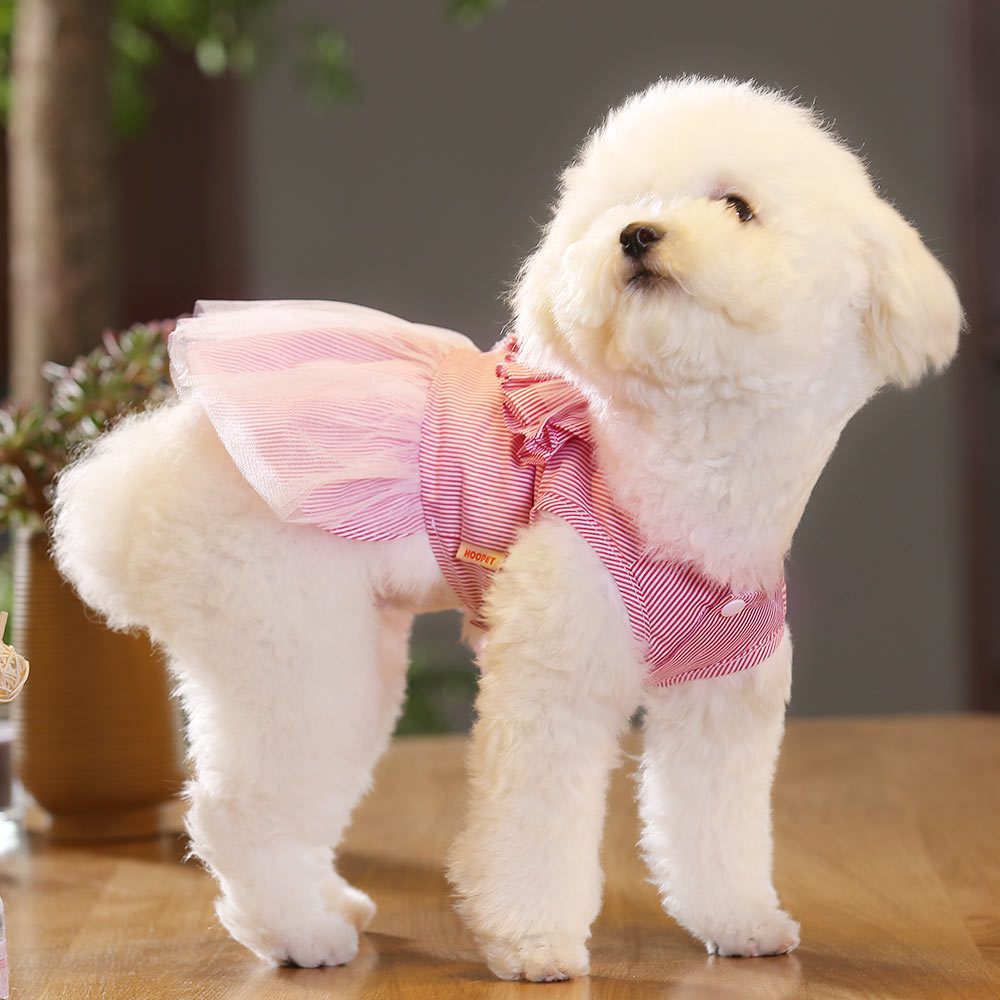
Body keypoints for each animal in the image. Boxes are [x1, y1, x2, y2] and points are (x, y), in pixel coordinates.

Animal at [52, 77, 961, 981]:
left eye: (738, 206)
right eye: (621, 207)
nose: (637, 235)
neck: (682, 470)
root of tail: (135, 479)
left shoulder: (723, 699)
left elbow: (713, 825)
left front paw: (739, 922)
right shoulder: (551, 676)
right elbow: (535, 823)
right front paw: (533, 942)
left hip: (346, 662)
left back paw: (325, 904)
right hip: (290, 644)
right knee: (238, 809)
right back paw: (299, 935)